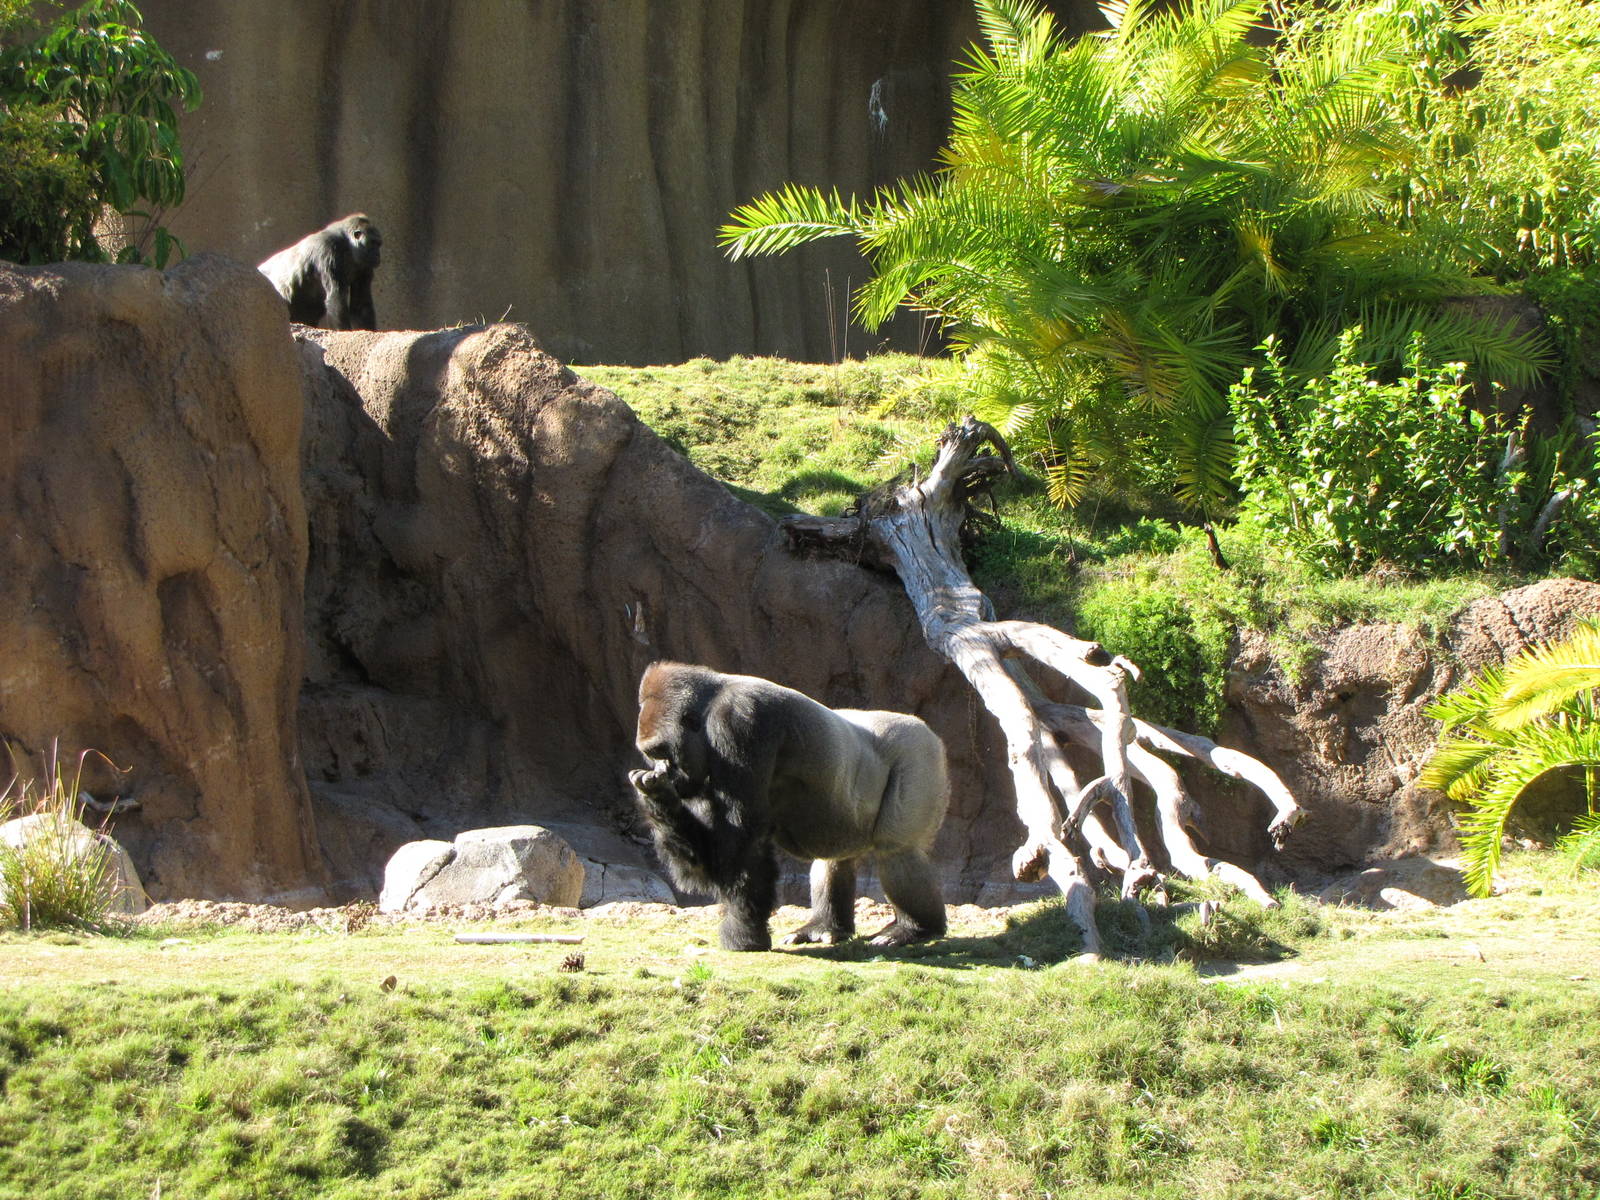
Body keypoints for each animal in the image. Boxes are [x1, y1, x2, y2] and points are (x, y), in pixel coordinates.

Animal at [627, 660, 950, 952]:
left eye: (662, 752)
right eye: (651, 755)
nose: (663, 772)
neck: (710, 705)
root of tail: (924, 726)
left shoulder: (739, 722)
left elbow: (743, 839)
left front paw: (744, 934)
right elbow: (704, 856)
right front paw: (657, 795)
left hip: (919, 750)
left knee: (897, 852)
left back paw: (916, 928)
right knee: (834, 860)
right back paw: (824, 926)